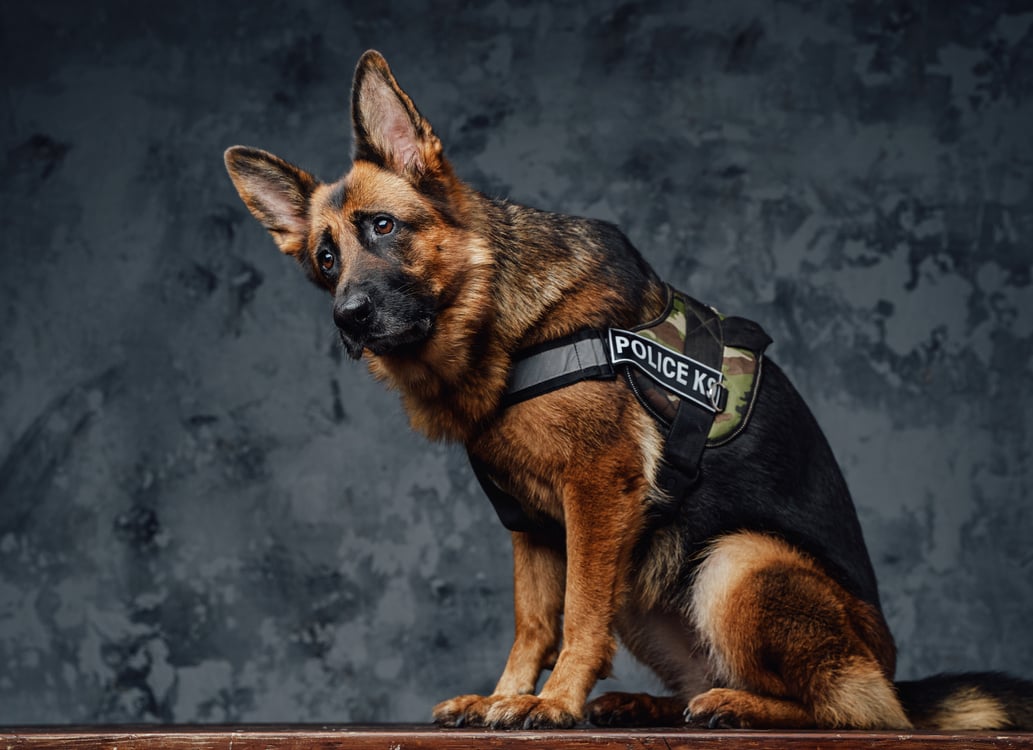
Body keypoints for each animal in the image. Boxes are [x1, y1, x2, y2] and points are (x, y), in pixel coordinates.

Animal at [222, 49, 1028, 731]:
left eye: (383, 227)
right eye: (326, 260)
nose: (349, 318)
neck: (505, 322)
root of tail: (890, 671)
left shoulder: (597, 492)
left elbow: (578, 614)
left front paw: (553, 703)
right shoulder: (531, 525)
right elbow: (534, 622)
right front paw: (506, 695)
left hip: (734, 562)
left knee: (854, 711)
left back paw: (739, 706)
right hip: (649, 579)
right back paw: (652, 703)